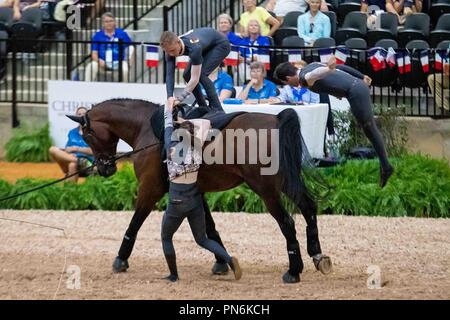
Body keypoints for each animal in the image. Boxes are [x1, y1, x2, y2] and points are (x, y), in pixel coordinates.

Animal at [68, 99, 332, 282]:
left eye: (87, 135)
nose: (105, 168)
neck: (146, 127)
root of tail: (276, 119)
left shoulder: (150, 189)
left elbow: (135, 222)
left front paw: (121, 258)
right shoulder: (196, 192)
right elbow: (209, 228)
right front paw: (222, 262)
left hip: (266, 189)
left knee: (287, 222)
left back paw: (294, 270)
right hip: (286, 182)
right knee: (308, 207)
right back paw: (318, 256)